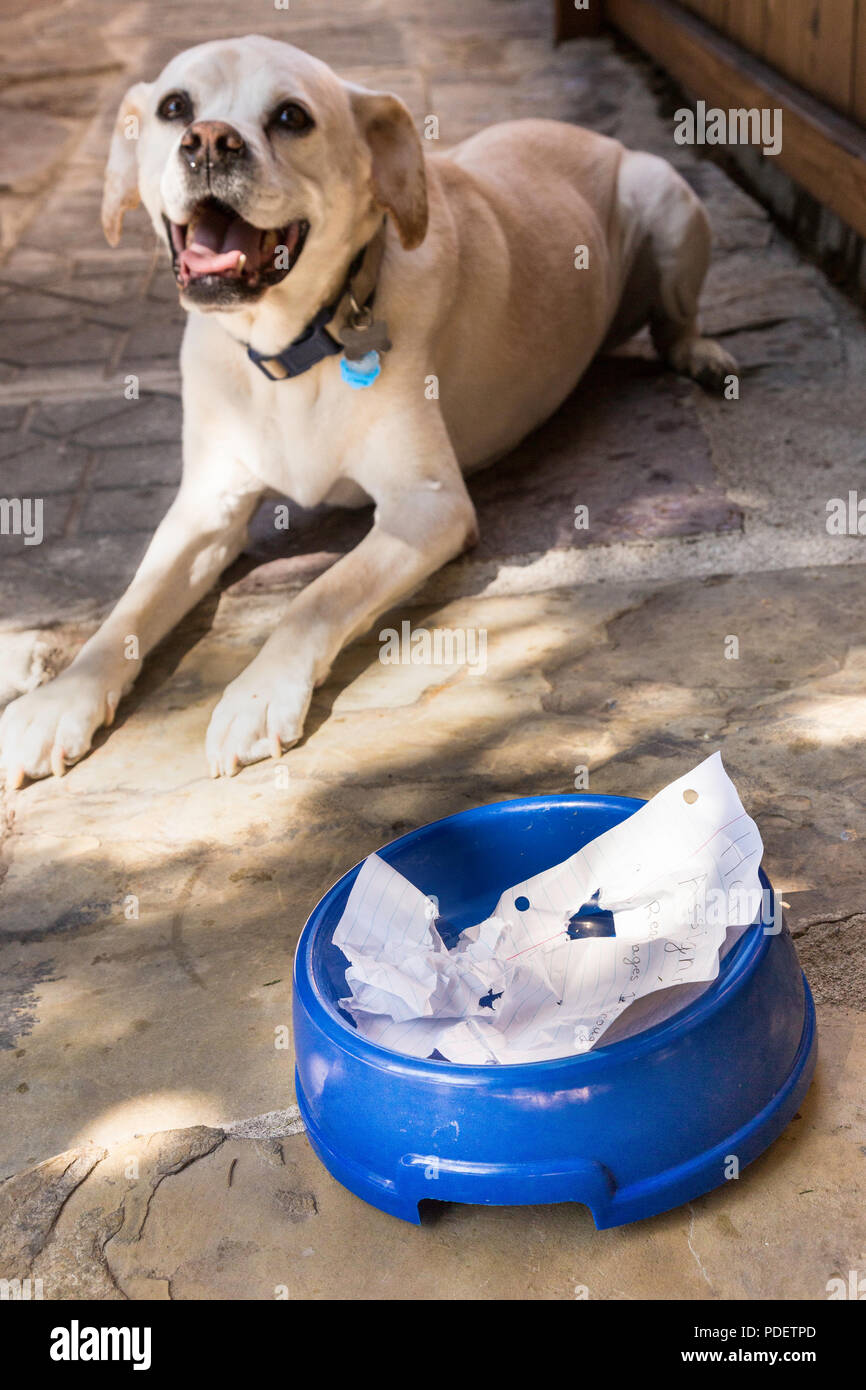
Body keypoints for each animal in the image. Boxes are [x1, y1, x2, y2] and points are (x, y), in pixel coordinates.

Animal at [0, 32, 739, 789]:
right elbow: (129, 607)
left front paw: (258, 693)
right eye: (175, 107)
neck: (291, 350)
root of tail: (589, 133)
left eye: (292, 116)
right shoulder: (204, 511)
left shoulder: (428, 506)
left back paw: (703, 355)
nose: (208, 142)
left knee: (676, 323)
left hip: (668, 198)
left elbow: (317, 595)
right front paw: (59, 700)